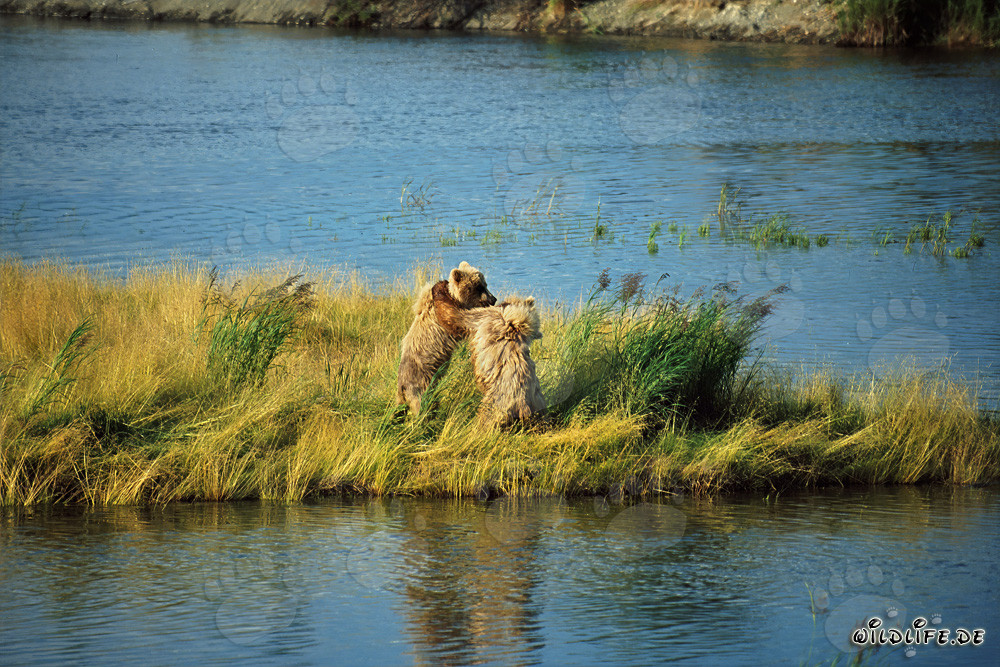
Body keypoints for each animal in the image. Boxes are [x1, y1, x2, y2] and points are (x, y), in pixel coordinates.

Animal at [396, 261, 496, 414]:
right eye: (479, 286)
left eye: (485, 284)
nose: (493, 299)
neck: (456, 298)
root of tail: (402, 387)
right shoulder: (445, 319)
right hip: (420, 383)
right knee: (422, 404)